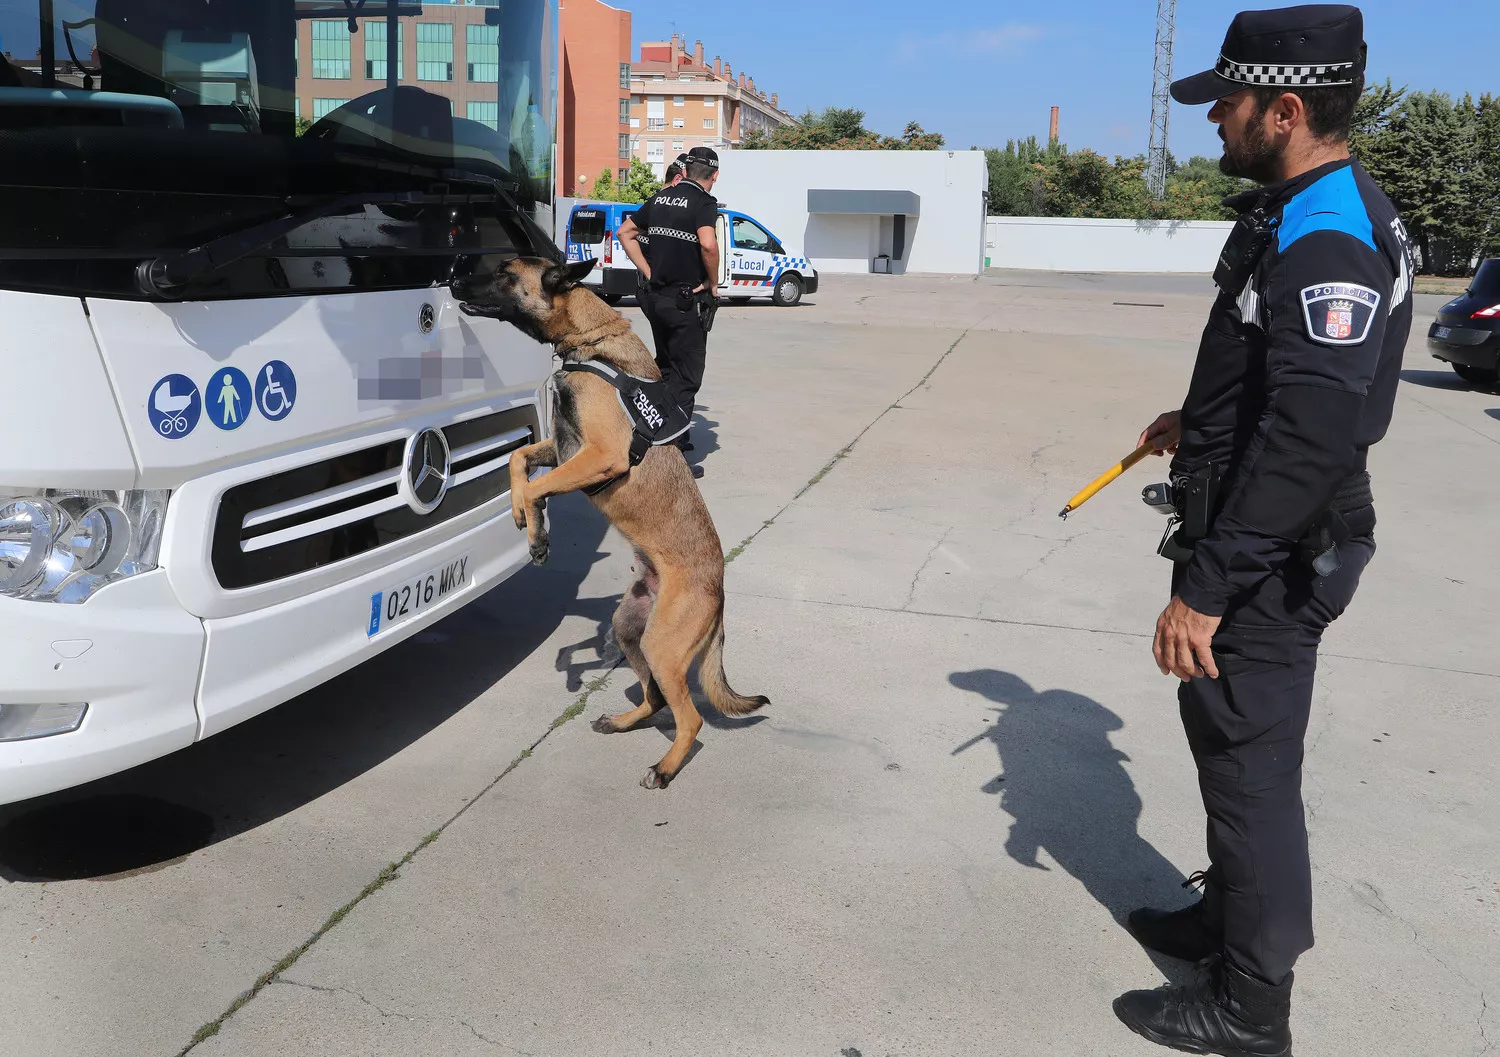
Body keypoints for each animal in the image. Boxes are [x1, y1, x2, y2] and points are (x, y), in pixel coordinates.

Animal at [450, 253, 768, 785]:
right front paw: (524, 517)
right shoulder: (563, 449)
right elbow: (518, 460)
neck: (589, 338)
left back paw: (664, 768)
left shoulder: (599, 456)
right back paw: (622, 722)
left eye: (505, 274)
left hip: (661, 646)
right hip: (628, 628)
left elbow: (534, 485)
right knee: (656, 698)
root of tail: (719, 589)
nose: (453, 278)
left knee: (690, 716)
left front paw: (534, 530)